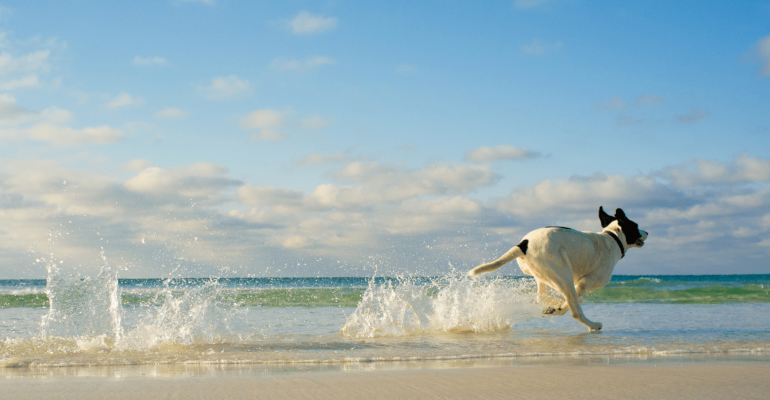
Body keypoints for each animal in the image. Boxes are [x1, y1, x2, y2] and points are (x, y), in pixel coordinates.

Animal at [464, 208, 644, 330]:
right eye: (636, 226)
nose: (647, 232)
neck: (612, 238)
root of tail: (523, 245)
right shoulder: (585, 282)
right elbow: (572, 303)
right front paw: (558, 309)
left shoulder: (576, 283)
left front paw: (555, 307)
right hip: (562, 274)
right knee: (575, 310)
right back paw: (592, 325)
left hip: (545, 275)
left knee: (542, 297)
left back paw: (553, 306)